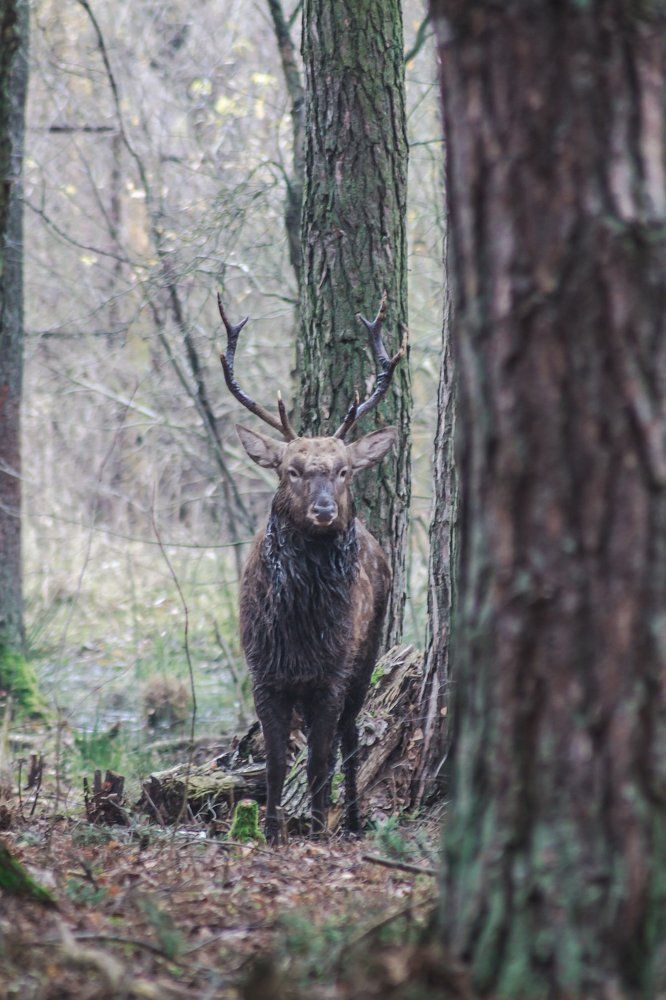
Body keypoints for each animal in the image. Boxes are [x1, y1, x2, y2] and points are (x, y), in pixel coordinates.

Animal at [218, 292, 404, 845]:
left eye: (344, 471)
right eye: (291, 470)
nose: (324, 510)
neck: (299, 629)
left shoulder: (331, 674)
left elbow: (320, 757)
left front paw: (319, 828)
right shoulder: (263, 672)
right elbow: (278, 762)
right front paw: (272, 830)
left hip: (367, 655)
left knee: (349, 738)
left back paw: (354, 820)